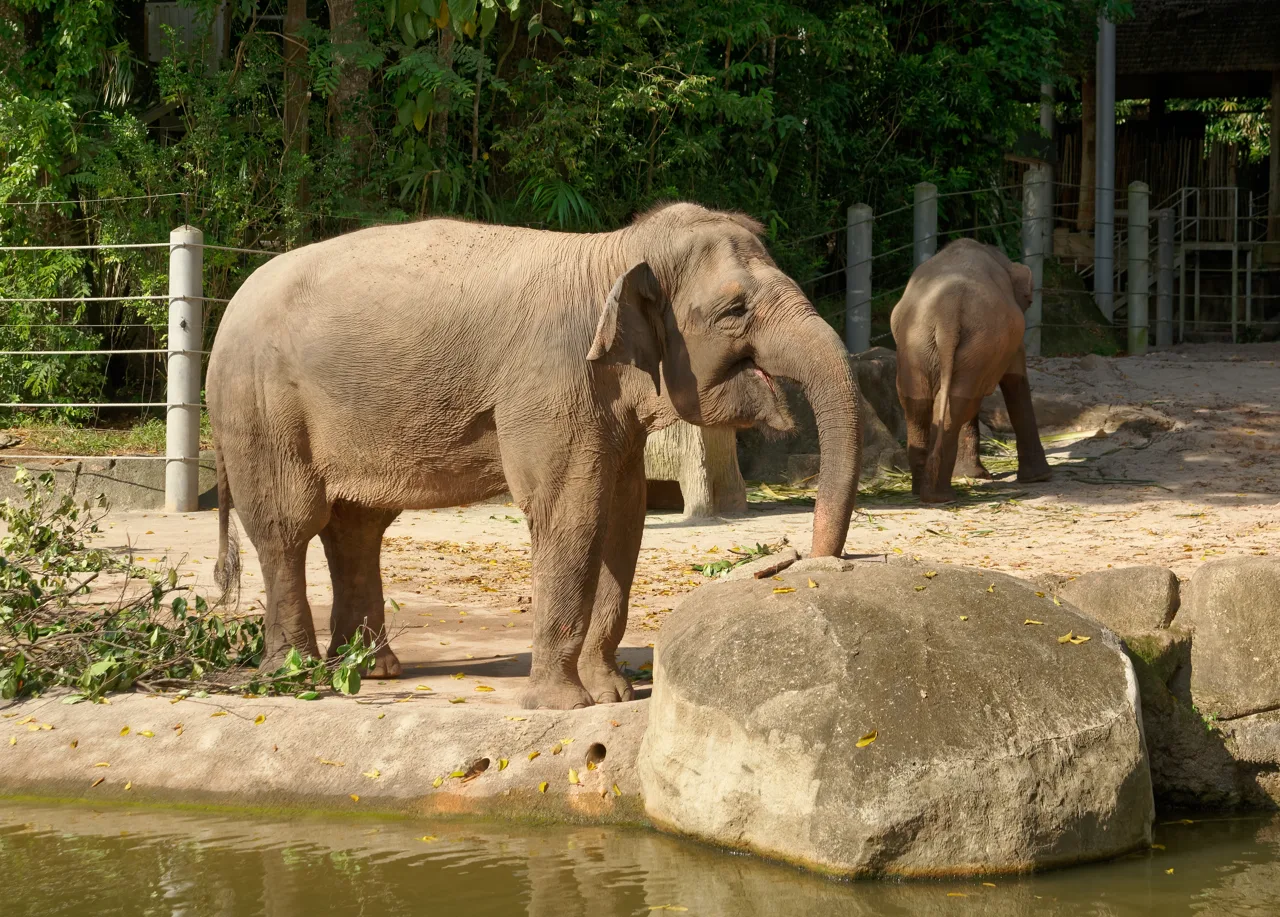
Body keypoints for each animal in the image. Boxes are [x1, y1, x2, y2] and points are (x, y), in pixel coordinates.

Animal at [207, 202, 862, 709]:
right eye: (733, 312)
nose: (804, 564)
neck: (613, 251)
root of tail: (229, 305)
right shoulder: (551, 385)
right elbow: (570, 511)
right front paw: (564, 706)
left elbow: (623, 514)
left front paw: (613, 695)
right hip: (260, 408)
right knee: (290, 526)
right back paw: (298, 678)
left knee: (356, 527)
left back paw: (369, 669)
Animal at [890, 238, 1051, 503]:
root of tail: (946, 313)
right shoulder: (1009, 343)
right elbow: (1015, 381)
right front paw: (1040, 478)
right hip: (974, 341)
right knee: (958, 403)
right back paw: (941, 495)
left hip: (918, 342)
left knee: (921, 404)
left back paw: (924, 492)